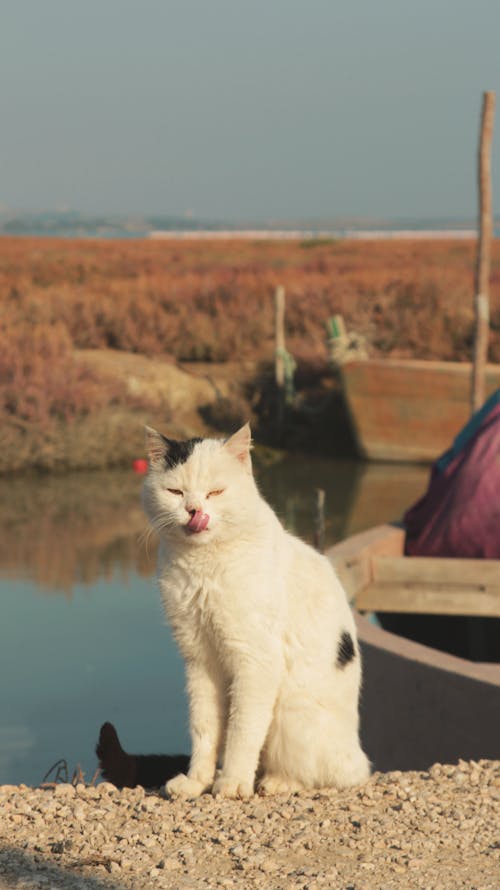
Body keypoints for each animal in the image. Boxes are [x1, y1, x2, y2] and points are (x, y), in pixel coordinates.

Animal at [143, 424, 370, 796]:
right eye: (175, 491)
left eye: (215, 492)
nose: (193, 510)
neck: (202, 564)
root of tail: (356, 752)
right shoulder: (200, 658)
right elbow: (204, 727)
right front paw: (197, 782)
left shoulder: (255, 659)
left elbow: (242, 730)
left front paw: (233, 782)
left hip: (292, 716)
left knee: (322, 775)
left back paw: (277, 782)